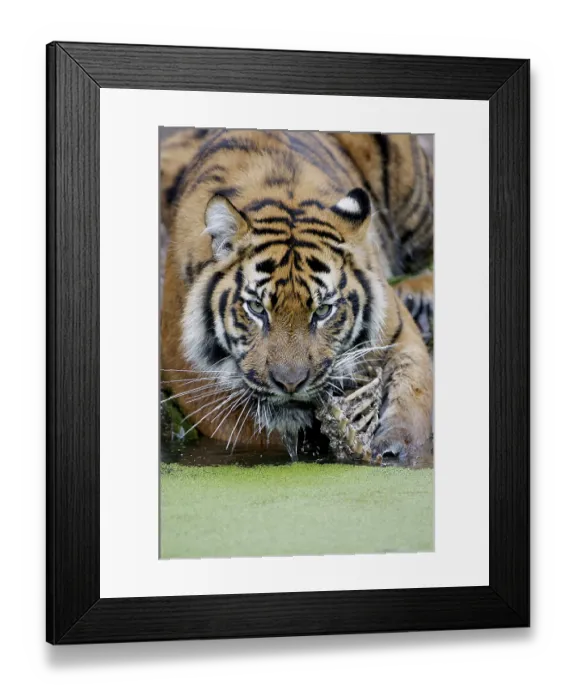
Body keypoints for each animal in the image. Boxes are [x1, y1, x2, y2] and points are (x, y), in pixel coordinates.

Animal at [160, 128, 434, 465]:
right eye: (256, 308)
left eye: (323, 311)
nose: (290, 383)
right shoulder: (190, 374)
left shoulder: (398, 333)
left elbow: (412, 395)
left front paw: (396, 449)